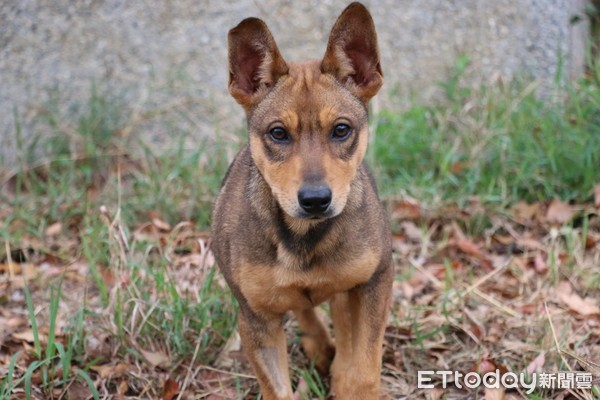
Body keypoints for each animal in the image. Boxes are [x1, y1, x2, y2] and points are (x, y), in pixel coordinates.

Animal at [212, 2, 394, 396]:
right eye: (278, 133)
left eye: (341, 129)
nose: (315, 200)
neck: (303, 236)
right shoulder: (255, 319)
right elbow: (276, 389)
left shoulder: (374, 281)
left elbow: (363, 366)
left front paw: (353, 385)